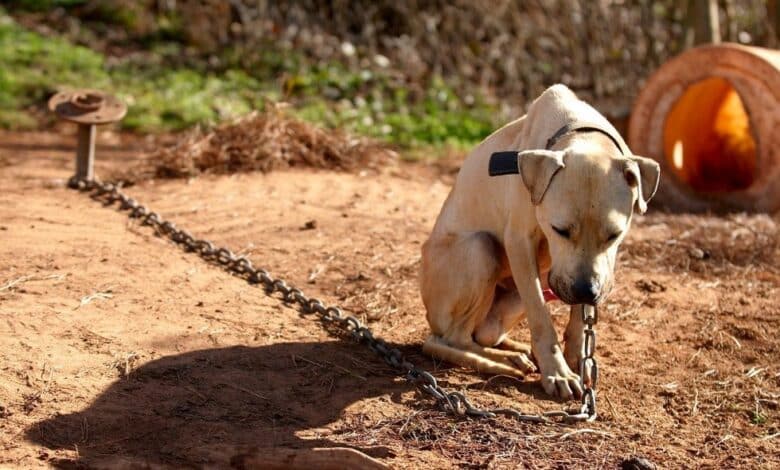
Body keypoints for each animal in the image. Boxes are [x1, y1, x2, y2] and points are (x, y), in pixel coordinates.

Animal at [420, 83, 660, 396]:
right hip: (480, 249)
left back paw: (516, 351)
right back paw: (503, 362)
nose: (586, 291)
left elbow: (579, 317)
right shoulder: (520, 243)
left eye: (614, 234)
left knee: (481, 335)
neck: (580, 131)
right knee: (449, 339)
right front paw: (558, 373)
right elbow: (542, 318)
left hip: (521, 296)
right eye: (560, 230)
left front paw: (577, 358)